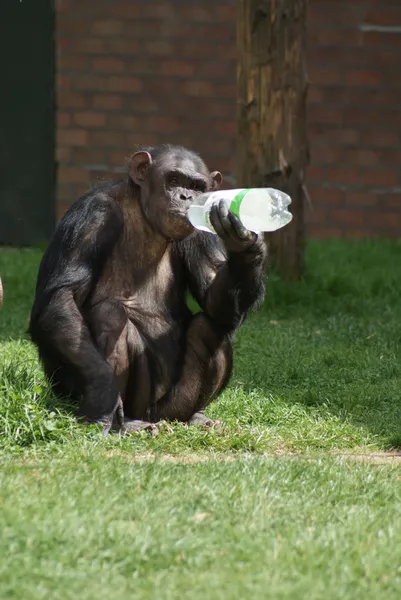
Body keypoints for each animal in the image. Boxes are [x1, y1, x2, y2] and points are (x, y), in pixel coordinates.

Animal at [27, 145, 266, 436]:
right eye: (173, 180)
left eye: (196, 186)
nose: (186, 196)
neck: (145, 217)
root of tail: (156, 417)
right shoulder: (92, 216)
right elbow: (63, 297)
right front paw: (103, 396)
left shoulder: (202, 230)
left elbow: (212, 299)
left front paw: (244, 244)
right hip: (95, 396)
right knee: (109, 315)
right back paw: (128, 424)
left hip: (172, 404)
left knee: (208, 329)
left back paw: (196, 417)